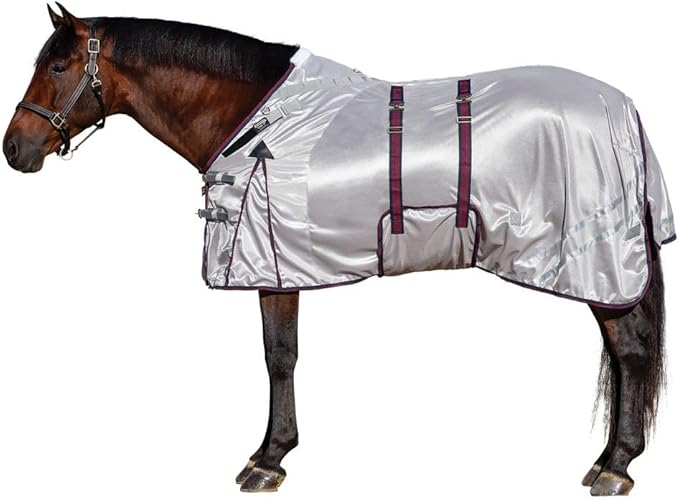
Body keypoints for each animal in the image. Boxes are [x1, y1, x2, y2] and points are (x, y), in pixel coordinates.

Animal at [3, 4, 674, 495]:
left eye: (58, 68)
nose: (16, 149)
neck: (257, 117)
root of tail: (624, 109)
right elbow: (281, 355)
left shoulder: (272, 266)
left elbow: (279, 357)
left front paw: (268, 458)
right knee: (623, 355)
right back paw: (611, 458)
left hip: (598, 266)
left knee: (631, 349)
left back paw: (617, 465)